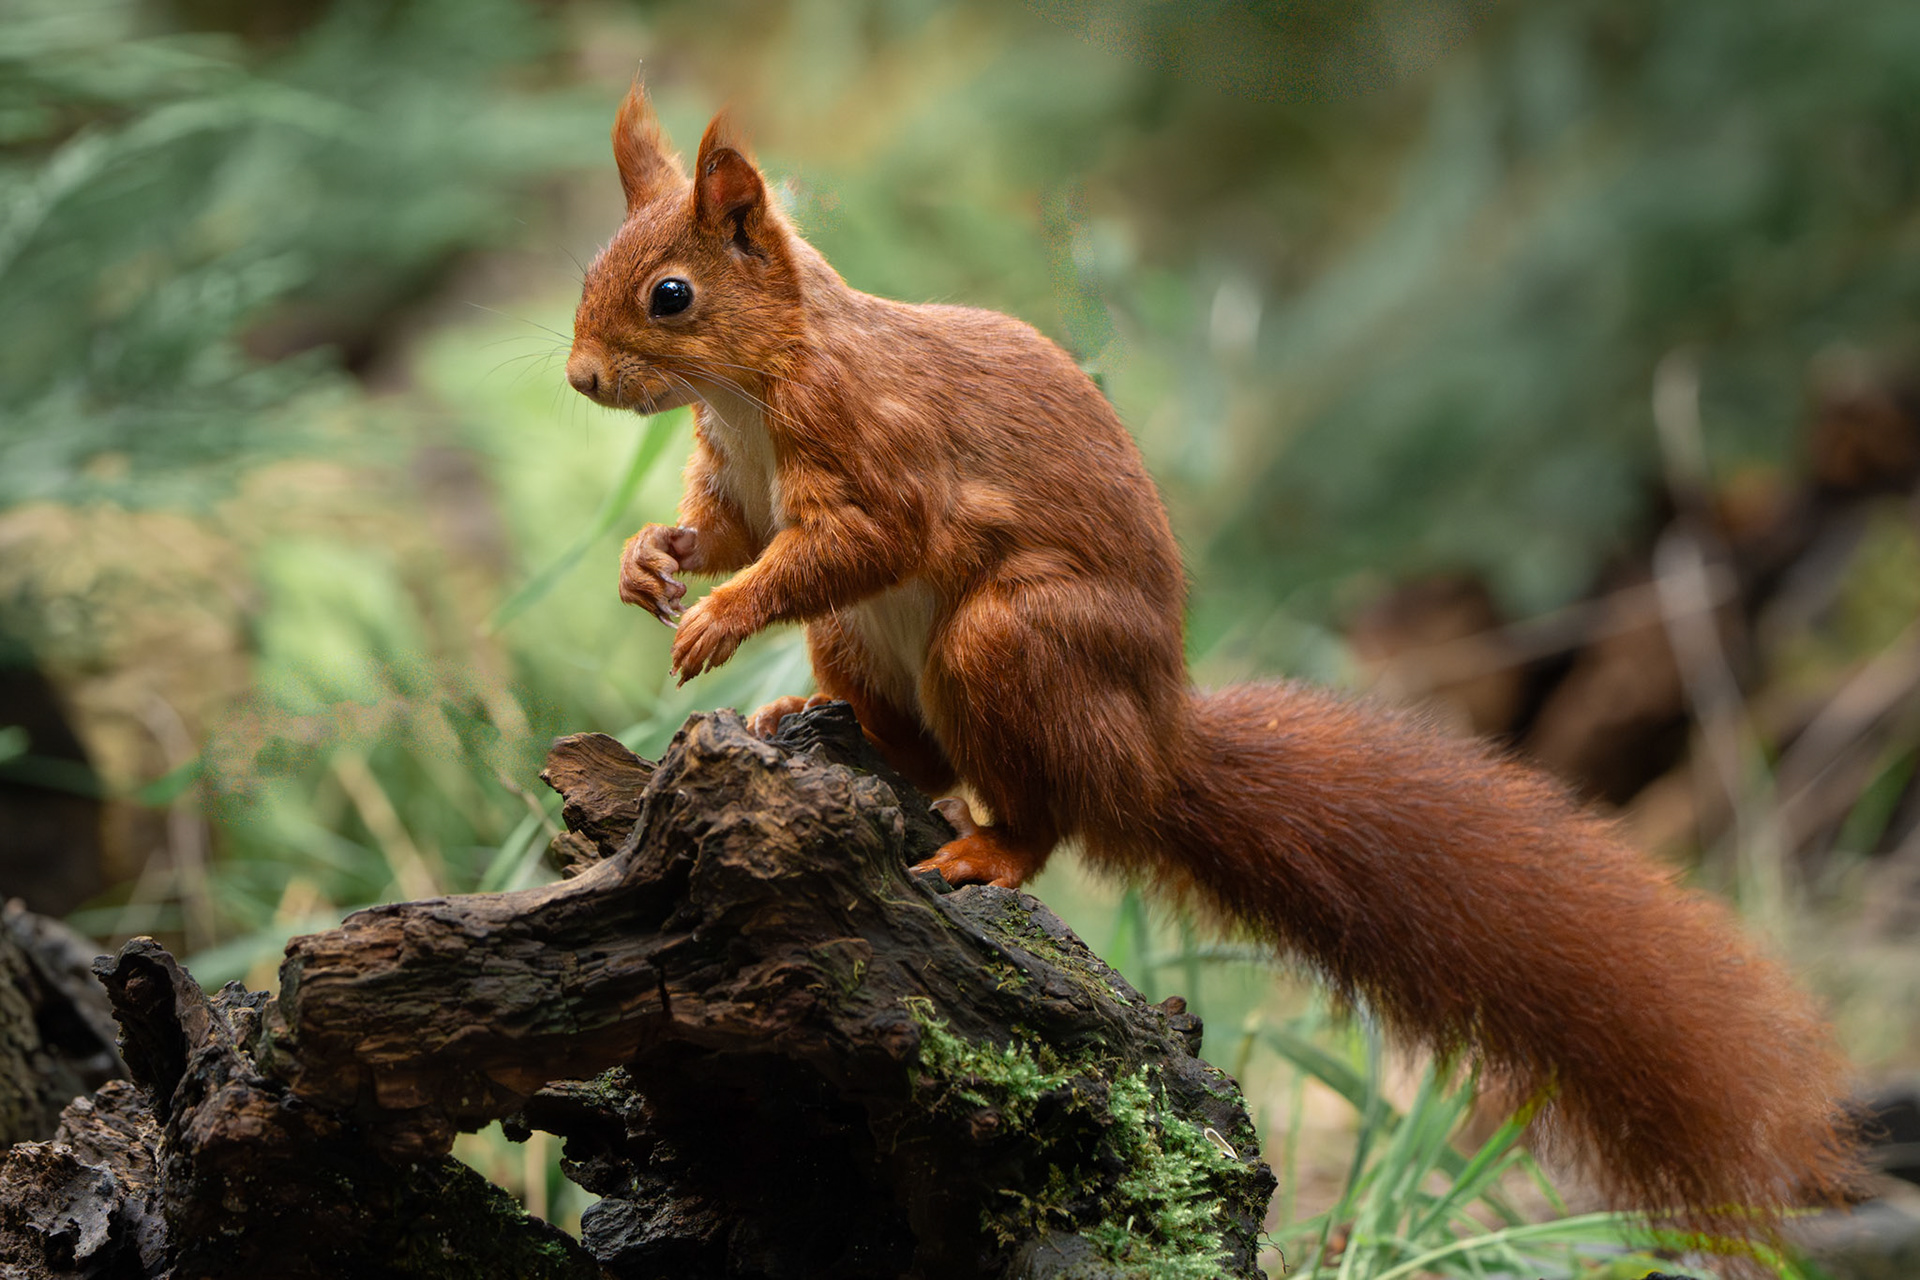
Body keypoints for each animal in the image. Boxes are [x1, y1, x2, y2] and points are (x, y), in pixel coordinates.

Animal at [564, 85, 1860, 1245]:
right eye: (590, 271)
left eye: (672, 295)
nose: (578, 378)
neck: (755, 387)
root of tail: (1148, 750)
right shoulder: (740, 476)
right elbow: (729, 529)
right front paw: (649, 562)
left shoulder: (880, 456)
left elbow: (847, 544)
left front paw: (720, 617)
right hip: (872, 642)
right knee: (924, 755)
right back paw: (822, 718)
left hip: (1011, 641)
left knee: (1038, 809)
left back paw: (986, 848)